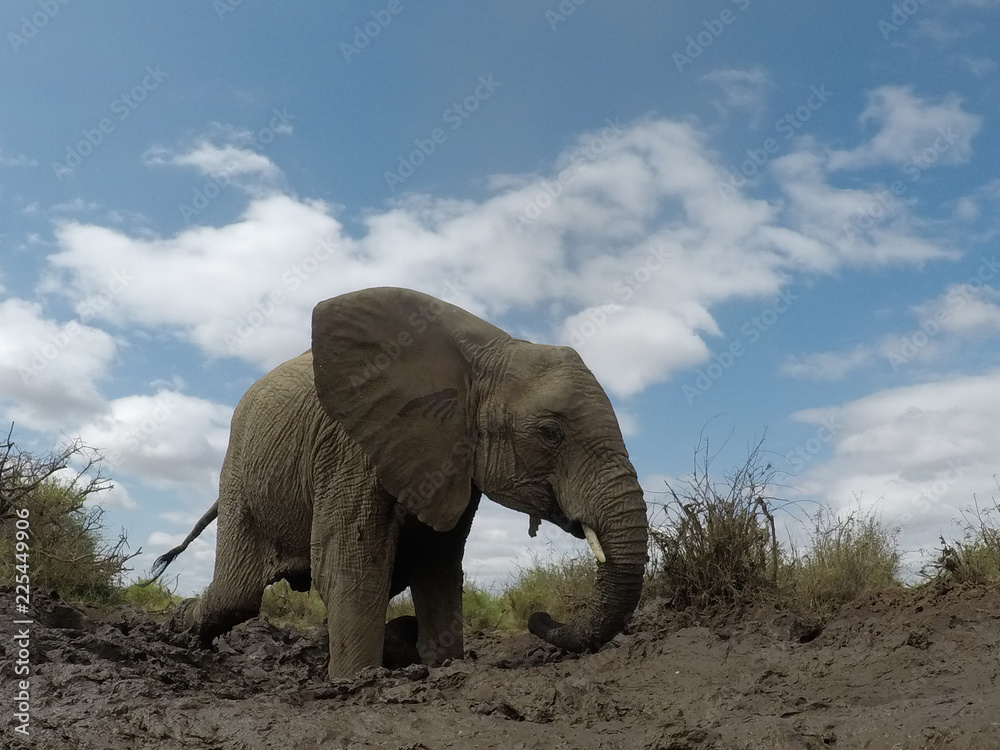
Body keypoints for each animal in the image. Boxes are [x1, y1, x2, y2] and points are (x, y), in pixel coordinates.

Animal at [152, 287, 648, 678]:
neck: (485, 354)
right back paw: (176, 632)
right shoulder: (352, 447)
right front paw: (355, 681)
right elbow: (351, 569)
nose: (538, 617)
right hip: (239, 474)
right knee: (236, 594)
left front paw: (442, 666)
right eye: (550, 433)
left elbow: (437, 565)